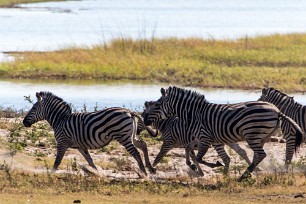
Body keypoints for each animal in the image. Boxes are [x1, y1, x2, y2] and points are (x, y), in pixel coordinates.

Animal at [22, 91, 154, 175]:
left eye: (34, 108)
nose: (24, 122)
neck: (60, 120)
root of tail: (129, 112)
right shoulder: (80, 146)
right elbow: (90, 161)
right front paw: (97, 174)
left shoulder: (62, 142)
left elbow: (57, 161)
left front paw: (50, 174)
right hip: (130, 135)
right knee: (143, 145)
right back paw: (150, 168)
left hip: (123, 137)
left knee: (136, 153)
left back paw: (144, 173)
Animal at [144, 86, 304, 182]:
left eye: (157, 105)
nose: (145, 120)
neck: (194, 114)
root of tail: (277, 110)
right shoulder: (200, 138)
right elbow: (190, 151)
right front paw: (196, 167)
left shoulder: (205, 137)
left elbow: (200, 158)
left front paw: (215, 164)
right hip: (263, 136)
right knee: (258, 155)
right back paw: (248, 173)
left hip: (252, 135)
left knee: (261, 154)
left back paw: (243, 176)